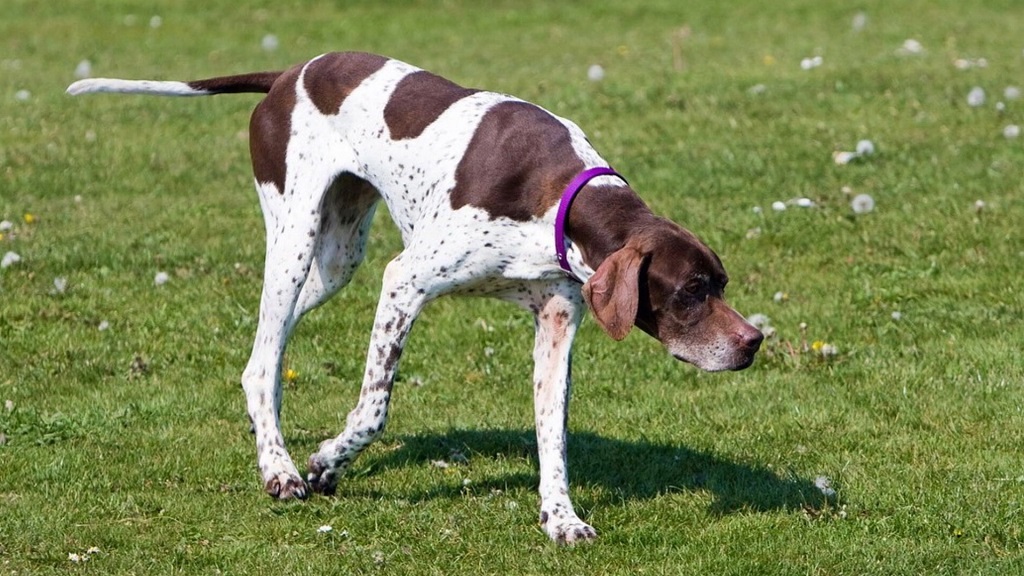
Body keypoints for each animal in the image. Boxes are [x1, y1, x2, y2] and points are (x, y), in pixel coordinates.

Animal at [68, 50, 761, 541]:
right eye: (691, 291)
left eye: (721, 284)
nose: (753, 342)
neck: (560, 197)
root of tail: (289, 73)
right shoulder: (405, 281)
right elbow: (374, 409)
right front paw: (327, 460)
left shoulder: (558, 324)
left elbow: (553, 434)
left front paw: (561, 518)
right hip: (294, 240)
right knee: (264, 360)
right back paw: (281, 469)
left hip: (336, 262)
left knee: (263, 353)